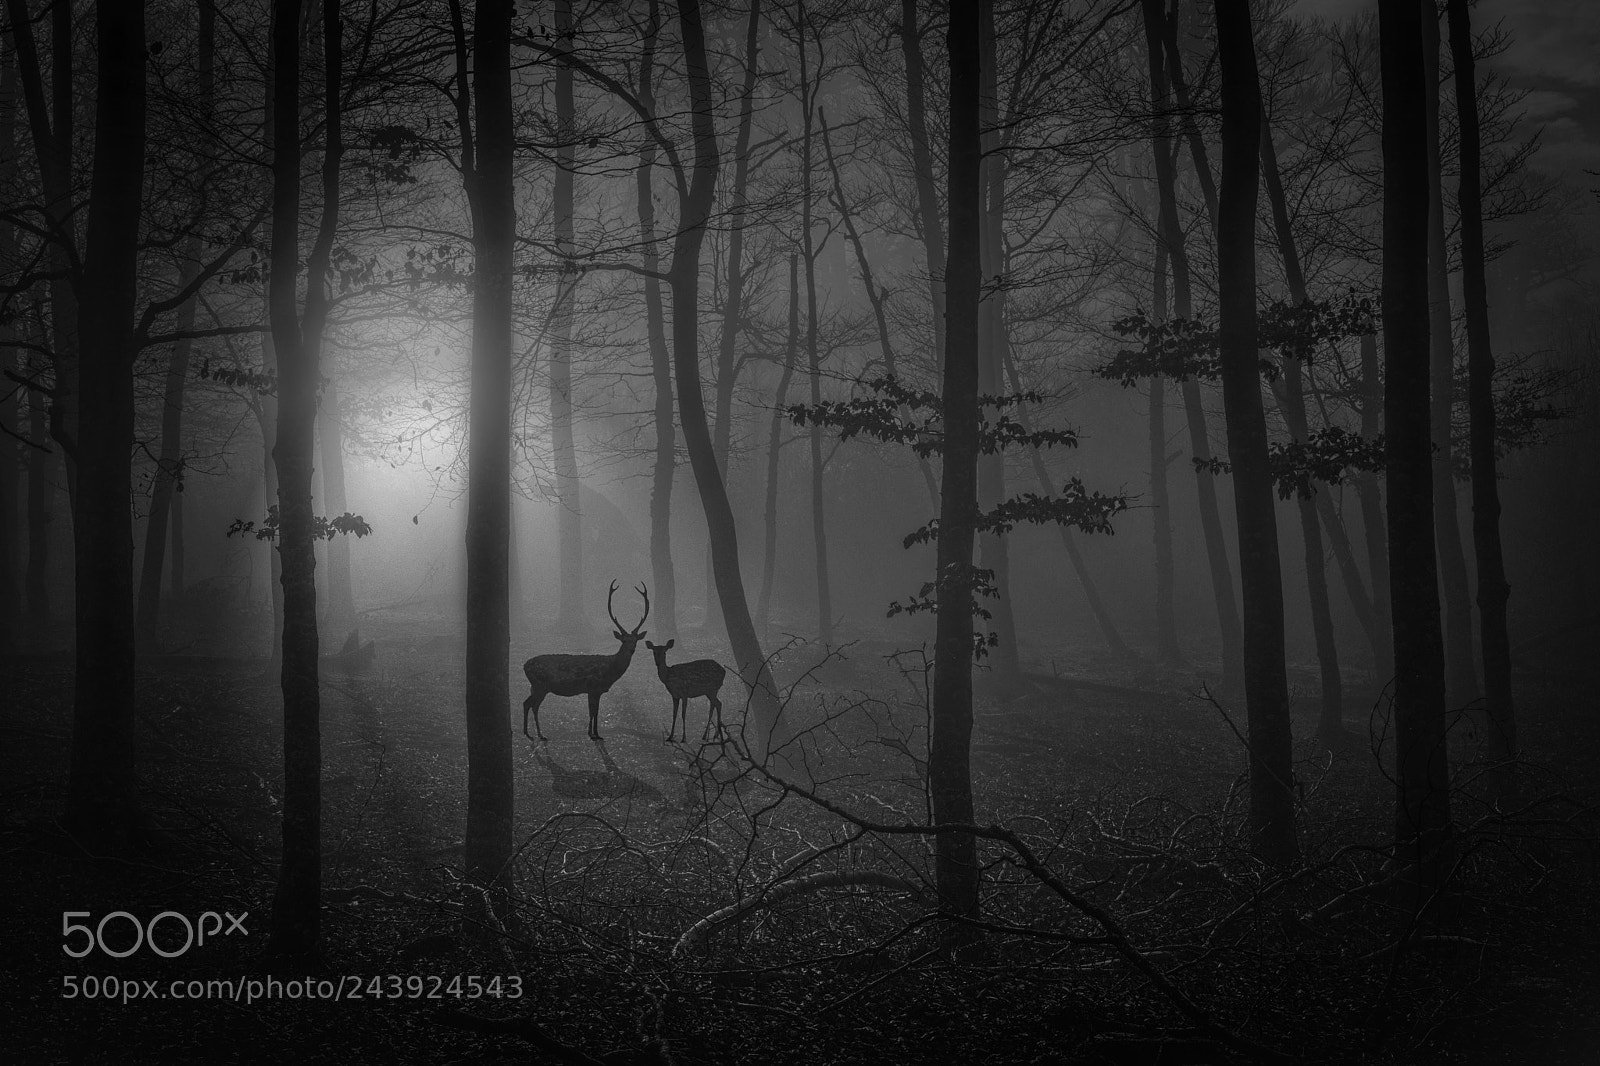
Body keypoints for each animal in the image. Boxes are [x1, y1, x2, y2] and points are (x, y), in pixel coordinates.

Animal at [522, 581, 649, 741]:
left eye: (635, 641)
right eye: (624, 640)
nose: (631, 650)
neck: (609, 672)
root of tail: (524, 666)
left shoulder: (596, 691)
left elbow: (595, 711)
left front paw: (596, 733)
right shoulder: (593, 687)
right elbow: (593, 711)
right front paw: (593, 734)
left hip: (535, 686)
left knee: (527, 703)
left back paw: (529, 733)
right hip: (540, 685)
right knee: (533, 705)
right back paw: (539, 734)